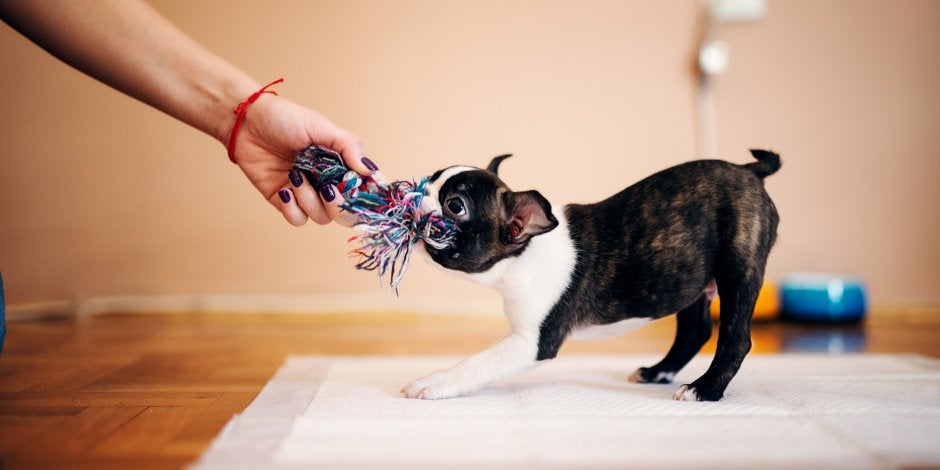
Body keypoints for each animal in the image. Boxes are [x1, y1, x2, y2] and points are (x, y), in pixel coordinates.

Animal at [404, 150, 780, 400]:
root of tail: (748, 170)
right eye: (430, 179)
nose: (416, 192)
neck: (523, 255)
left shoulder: (531, 342)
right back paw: (657, 372)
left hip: (737, 267)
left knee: (735, 337)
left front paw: (434, 381)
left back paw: (704, 389)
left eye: (455, 206)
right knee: (695, 331)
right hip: (690, 280)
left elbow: (479, 363)